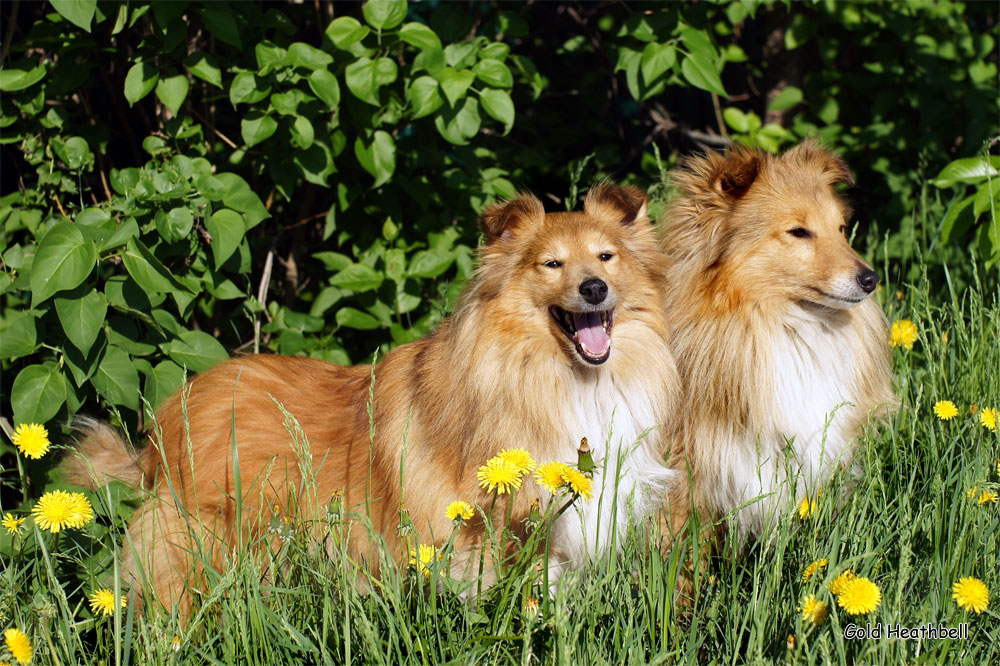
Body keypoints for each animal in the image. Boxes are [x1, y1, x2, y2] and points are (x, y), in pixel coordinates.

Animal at [68, 182, 680, 612]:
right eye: (552, 263)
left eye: (606, 257)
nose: (594, 289)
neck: (555, 376)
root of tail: (165, 426)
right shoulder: (495, 532)